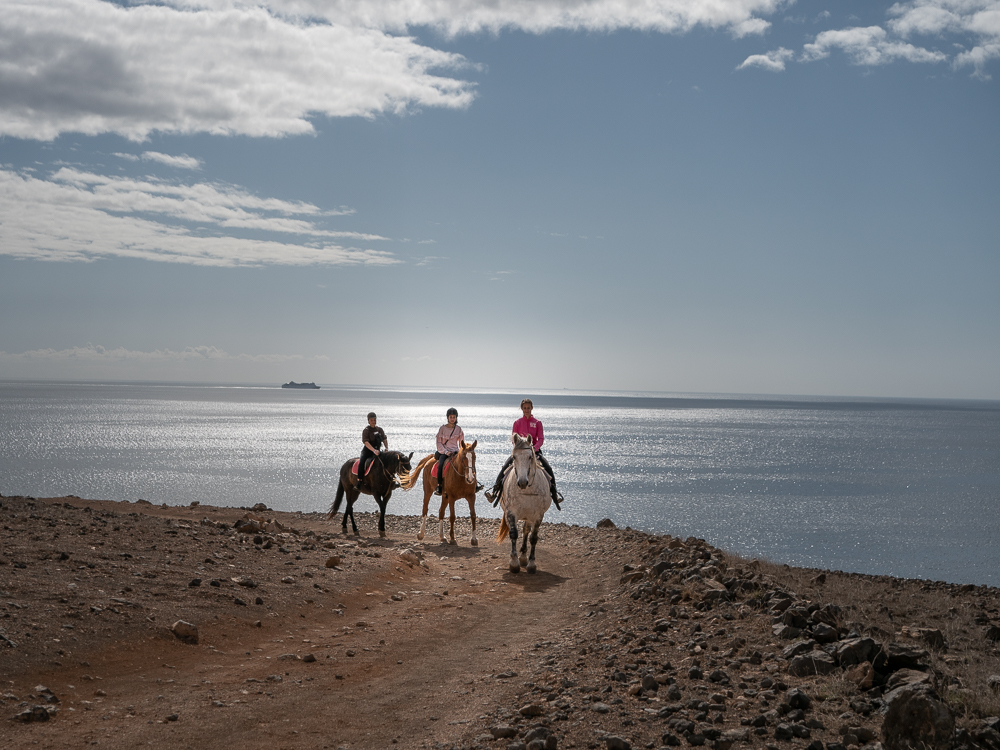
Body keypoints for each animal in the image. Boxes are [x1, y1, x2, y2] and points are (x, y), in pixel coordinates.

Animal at [496, 434, 552, 574]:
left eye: (530, 457)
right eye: (514, 457)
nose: (522, 482)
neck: (526, 491)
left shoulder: (538, 516)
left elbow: (533, 537)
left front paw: (531, 564)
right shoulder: (511, 512)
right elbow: (513, 533)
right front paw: (514, 563)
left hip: (529, 516)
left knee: (527, 530)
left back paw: (523, 557)